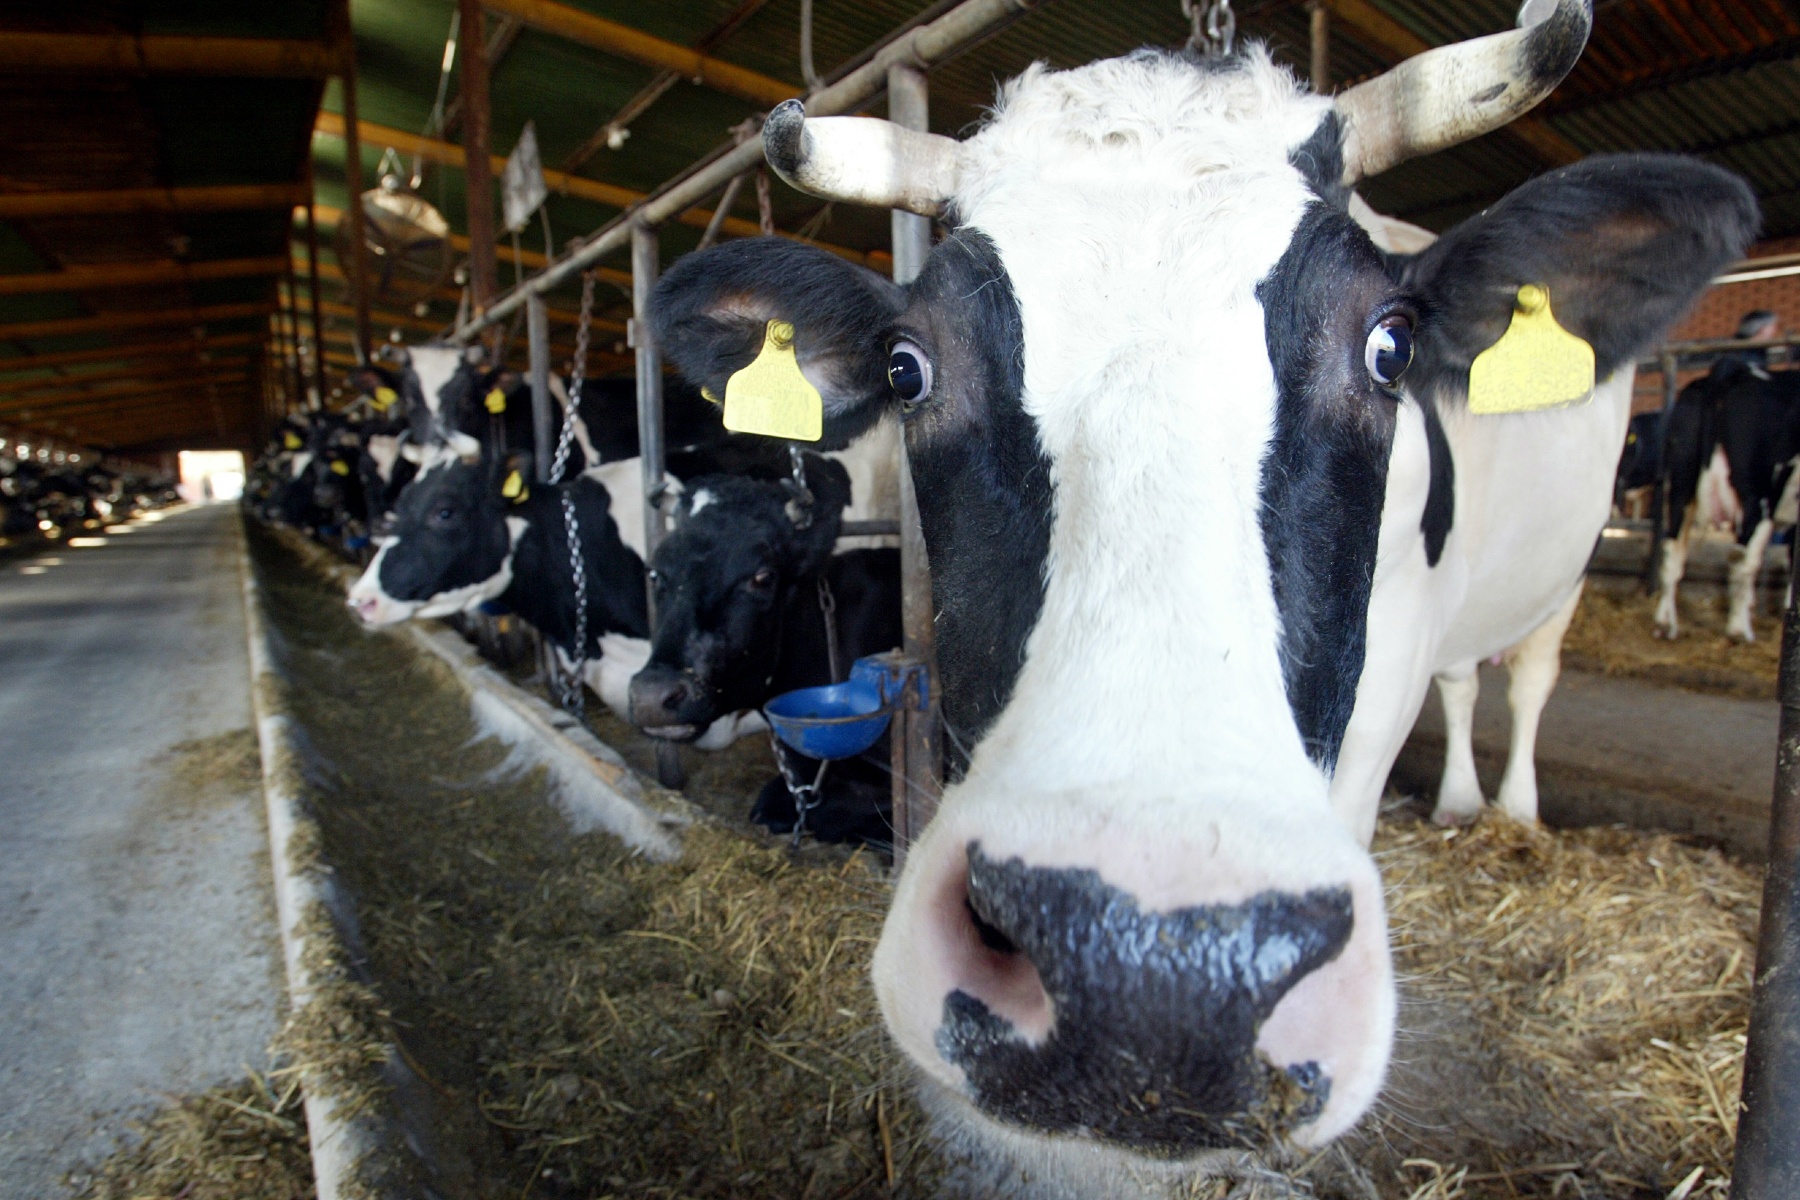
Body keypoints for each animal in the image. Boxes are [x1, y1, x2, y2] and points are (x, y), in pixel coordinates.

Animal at [1653, 358, 1800, 640]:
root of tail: (1730, 369)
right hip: (1758, 496)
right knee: (1743, 560)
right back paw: (1739, 630)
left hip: (1681, 482)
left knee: (1672, 551)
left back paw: (1665, 624)